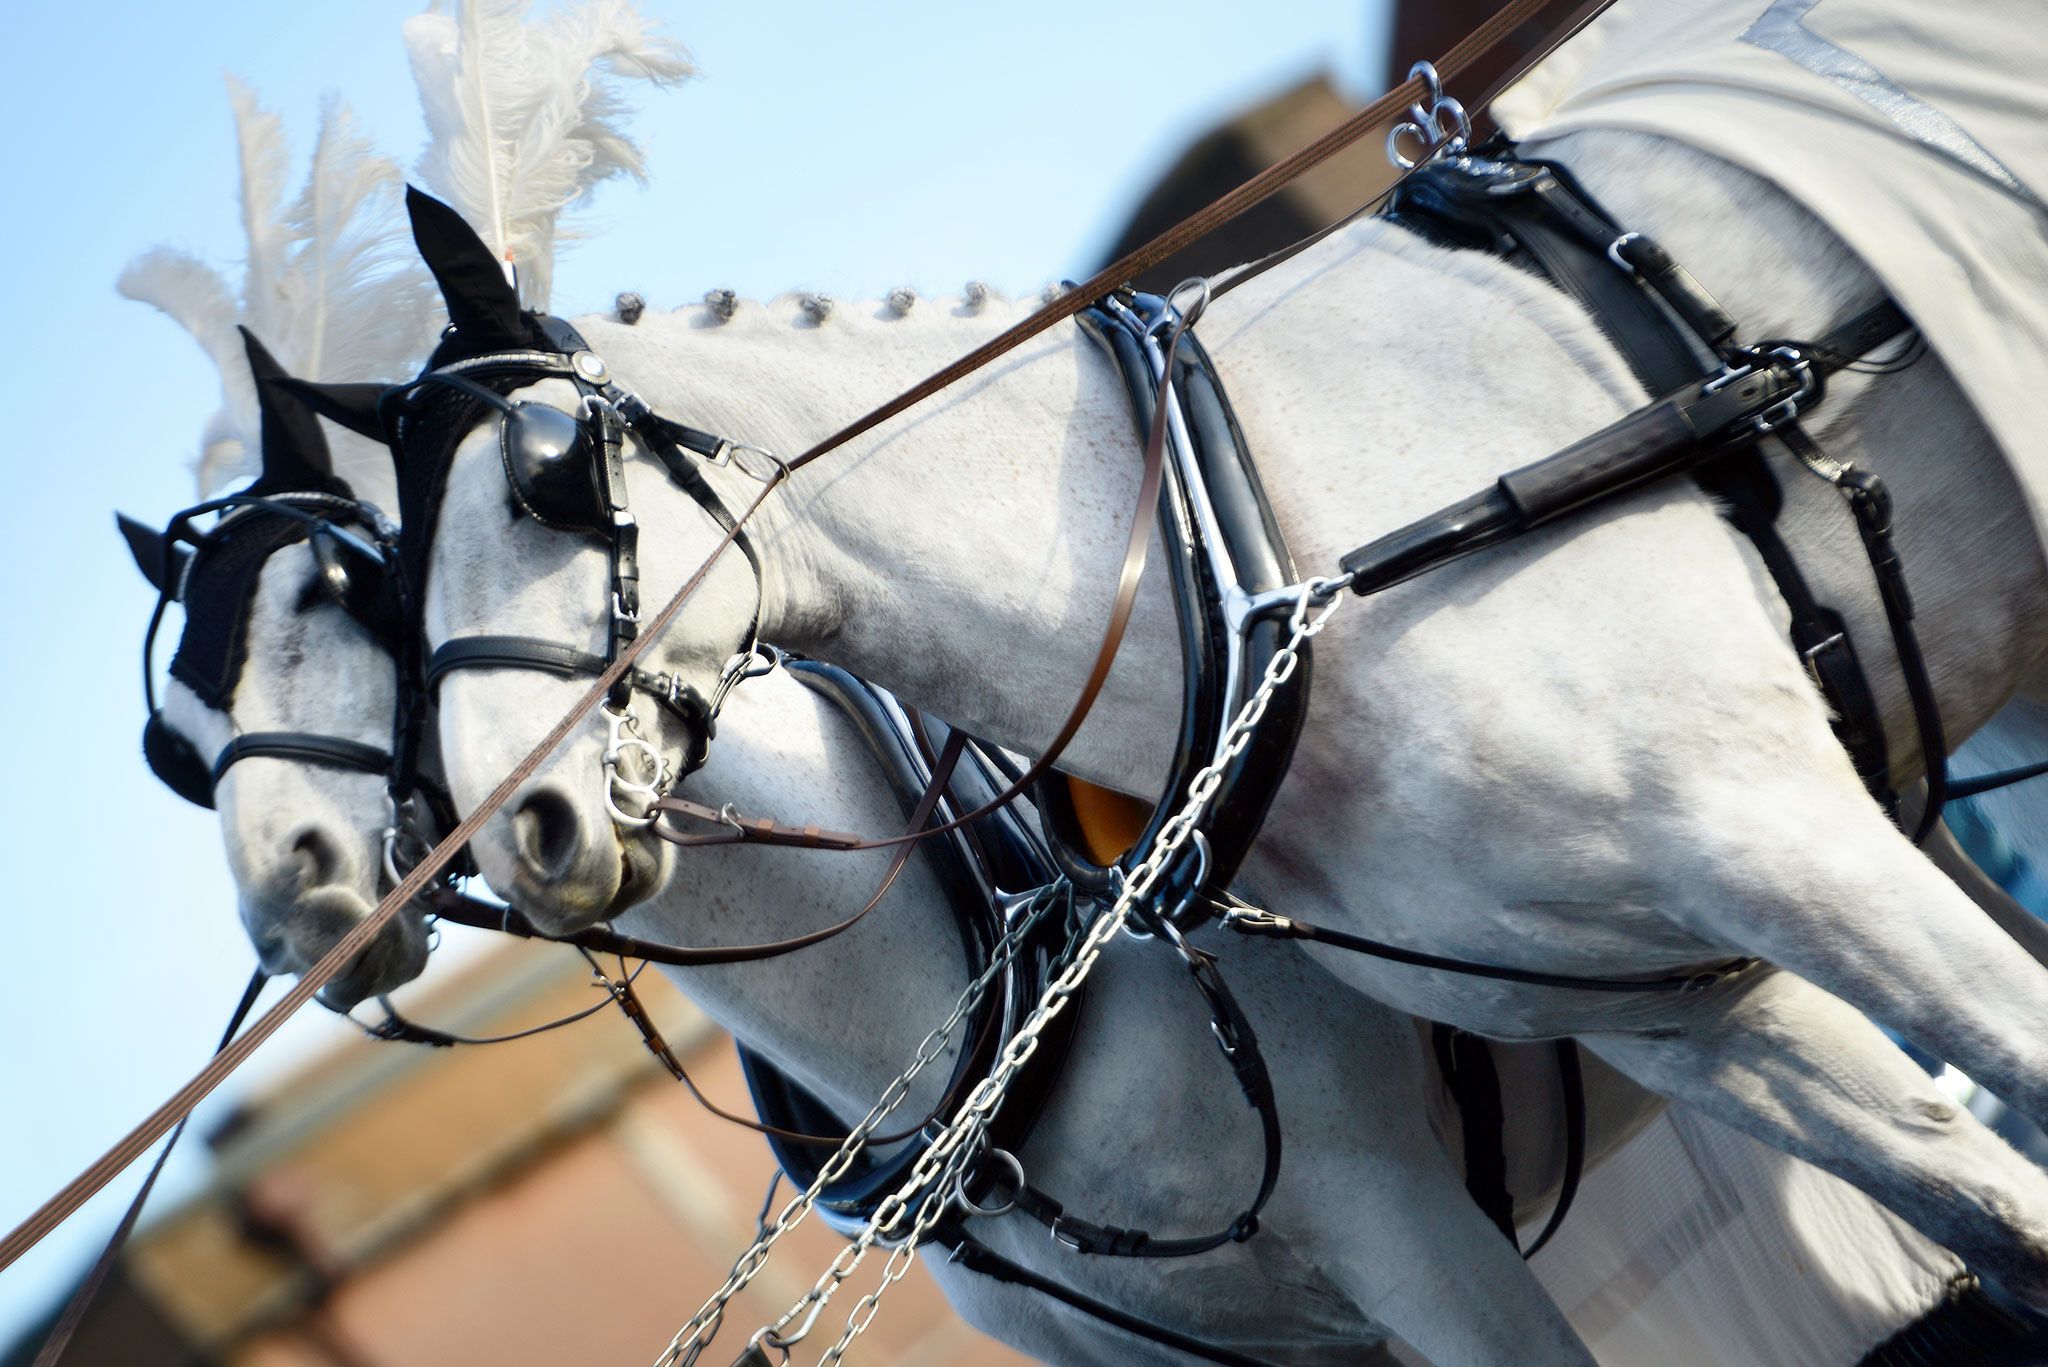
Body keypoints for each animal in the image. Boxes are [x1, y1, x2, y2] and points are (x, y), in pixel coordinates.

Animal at [382, 3, 2048, 1311]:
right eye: (391, 601)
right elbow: (2000, 1215)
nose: (524, 832)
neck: (1254, 567)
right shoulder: (1688, 1007)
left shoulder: (1793, 855)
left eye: (544, 472)